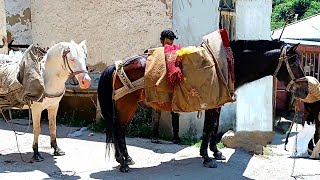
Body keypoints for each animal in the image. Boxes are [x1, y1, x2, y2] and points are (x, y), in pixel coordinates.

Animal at [98, 39, 310, 172]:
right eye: (295, 63)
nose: (305, 91)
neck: (225, 67)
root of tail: (117, 66)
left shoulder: (216, 104)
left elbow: (213, 127)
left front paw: (214, 153)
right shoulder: (211, 104)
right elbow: (209, 129)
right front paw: (207, 158)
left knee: (118, 130)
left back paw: (124, 159)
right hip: (127, 105)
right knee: (119, 130)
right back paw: (124, 163)